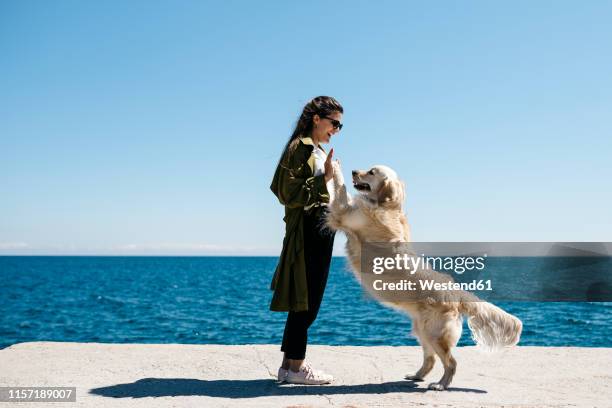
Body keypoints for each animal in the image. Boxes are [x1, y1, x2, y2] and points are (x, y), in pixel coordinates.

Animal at [326, 161, 520, 390]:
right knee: (431, 359)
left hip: (435, 333)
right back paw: (417, 375)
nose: (354, 171)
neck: (388, 205)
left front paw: (332, 164)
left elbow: (339, 187)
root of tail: (455, 292)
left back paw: (441, 385)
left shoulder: (344, 212)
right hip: (422, 330)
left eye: (371, 172)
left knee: (450, 362)